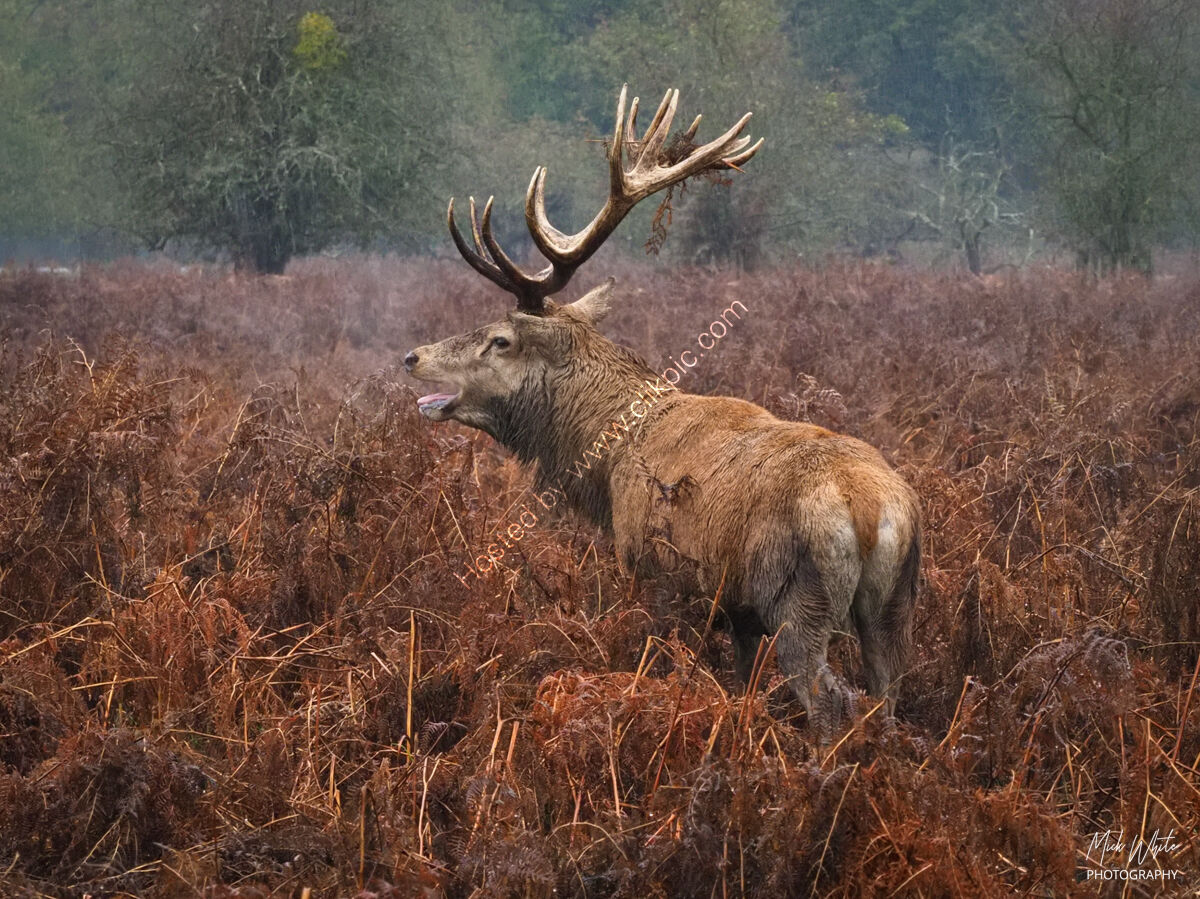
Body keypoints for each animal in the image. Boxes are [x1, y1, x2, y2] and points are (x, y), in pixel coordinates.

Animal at [404, 86, 922, 736]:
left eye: (500, 339)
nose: (413, 355)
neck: (606, 463)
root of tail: (873, 508)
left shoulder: (656, 574)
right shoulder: (739, 613)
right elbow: (740, 685)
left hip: (800, 599)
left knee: (831, 700)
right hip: (893, 604)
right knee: (889, 696)